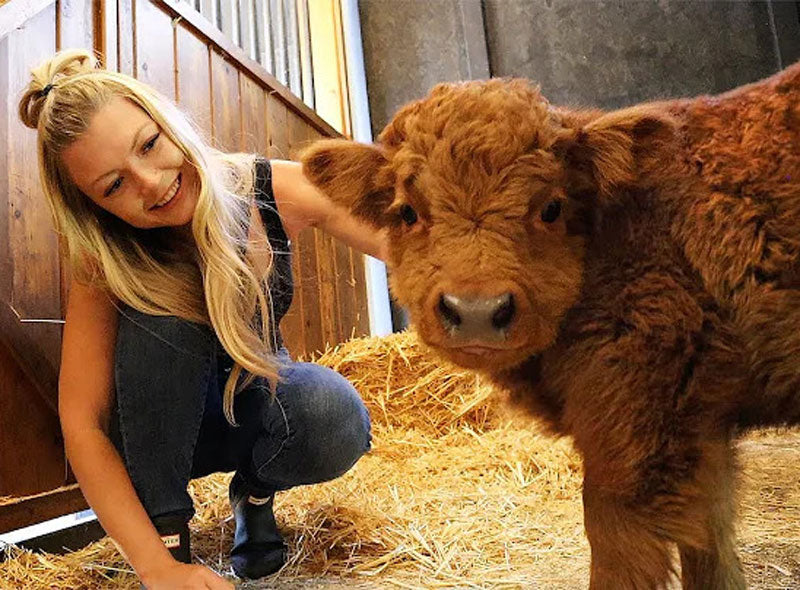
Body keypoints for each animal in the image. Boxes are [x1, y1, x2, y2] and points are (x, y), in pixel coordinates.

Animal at [300, 62, 800, 588]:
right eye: (408, 212)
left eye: (551, 207)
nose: (476, 311)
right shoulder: (702, 431)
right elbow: (710, 545)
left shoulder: (635, 434)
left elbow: (619, 549)